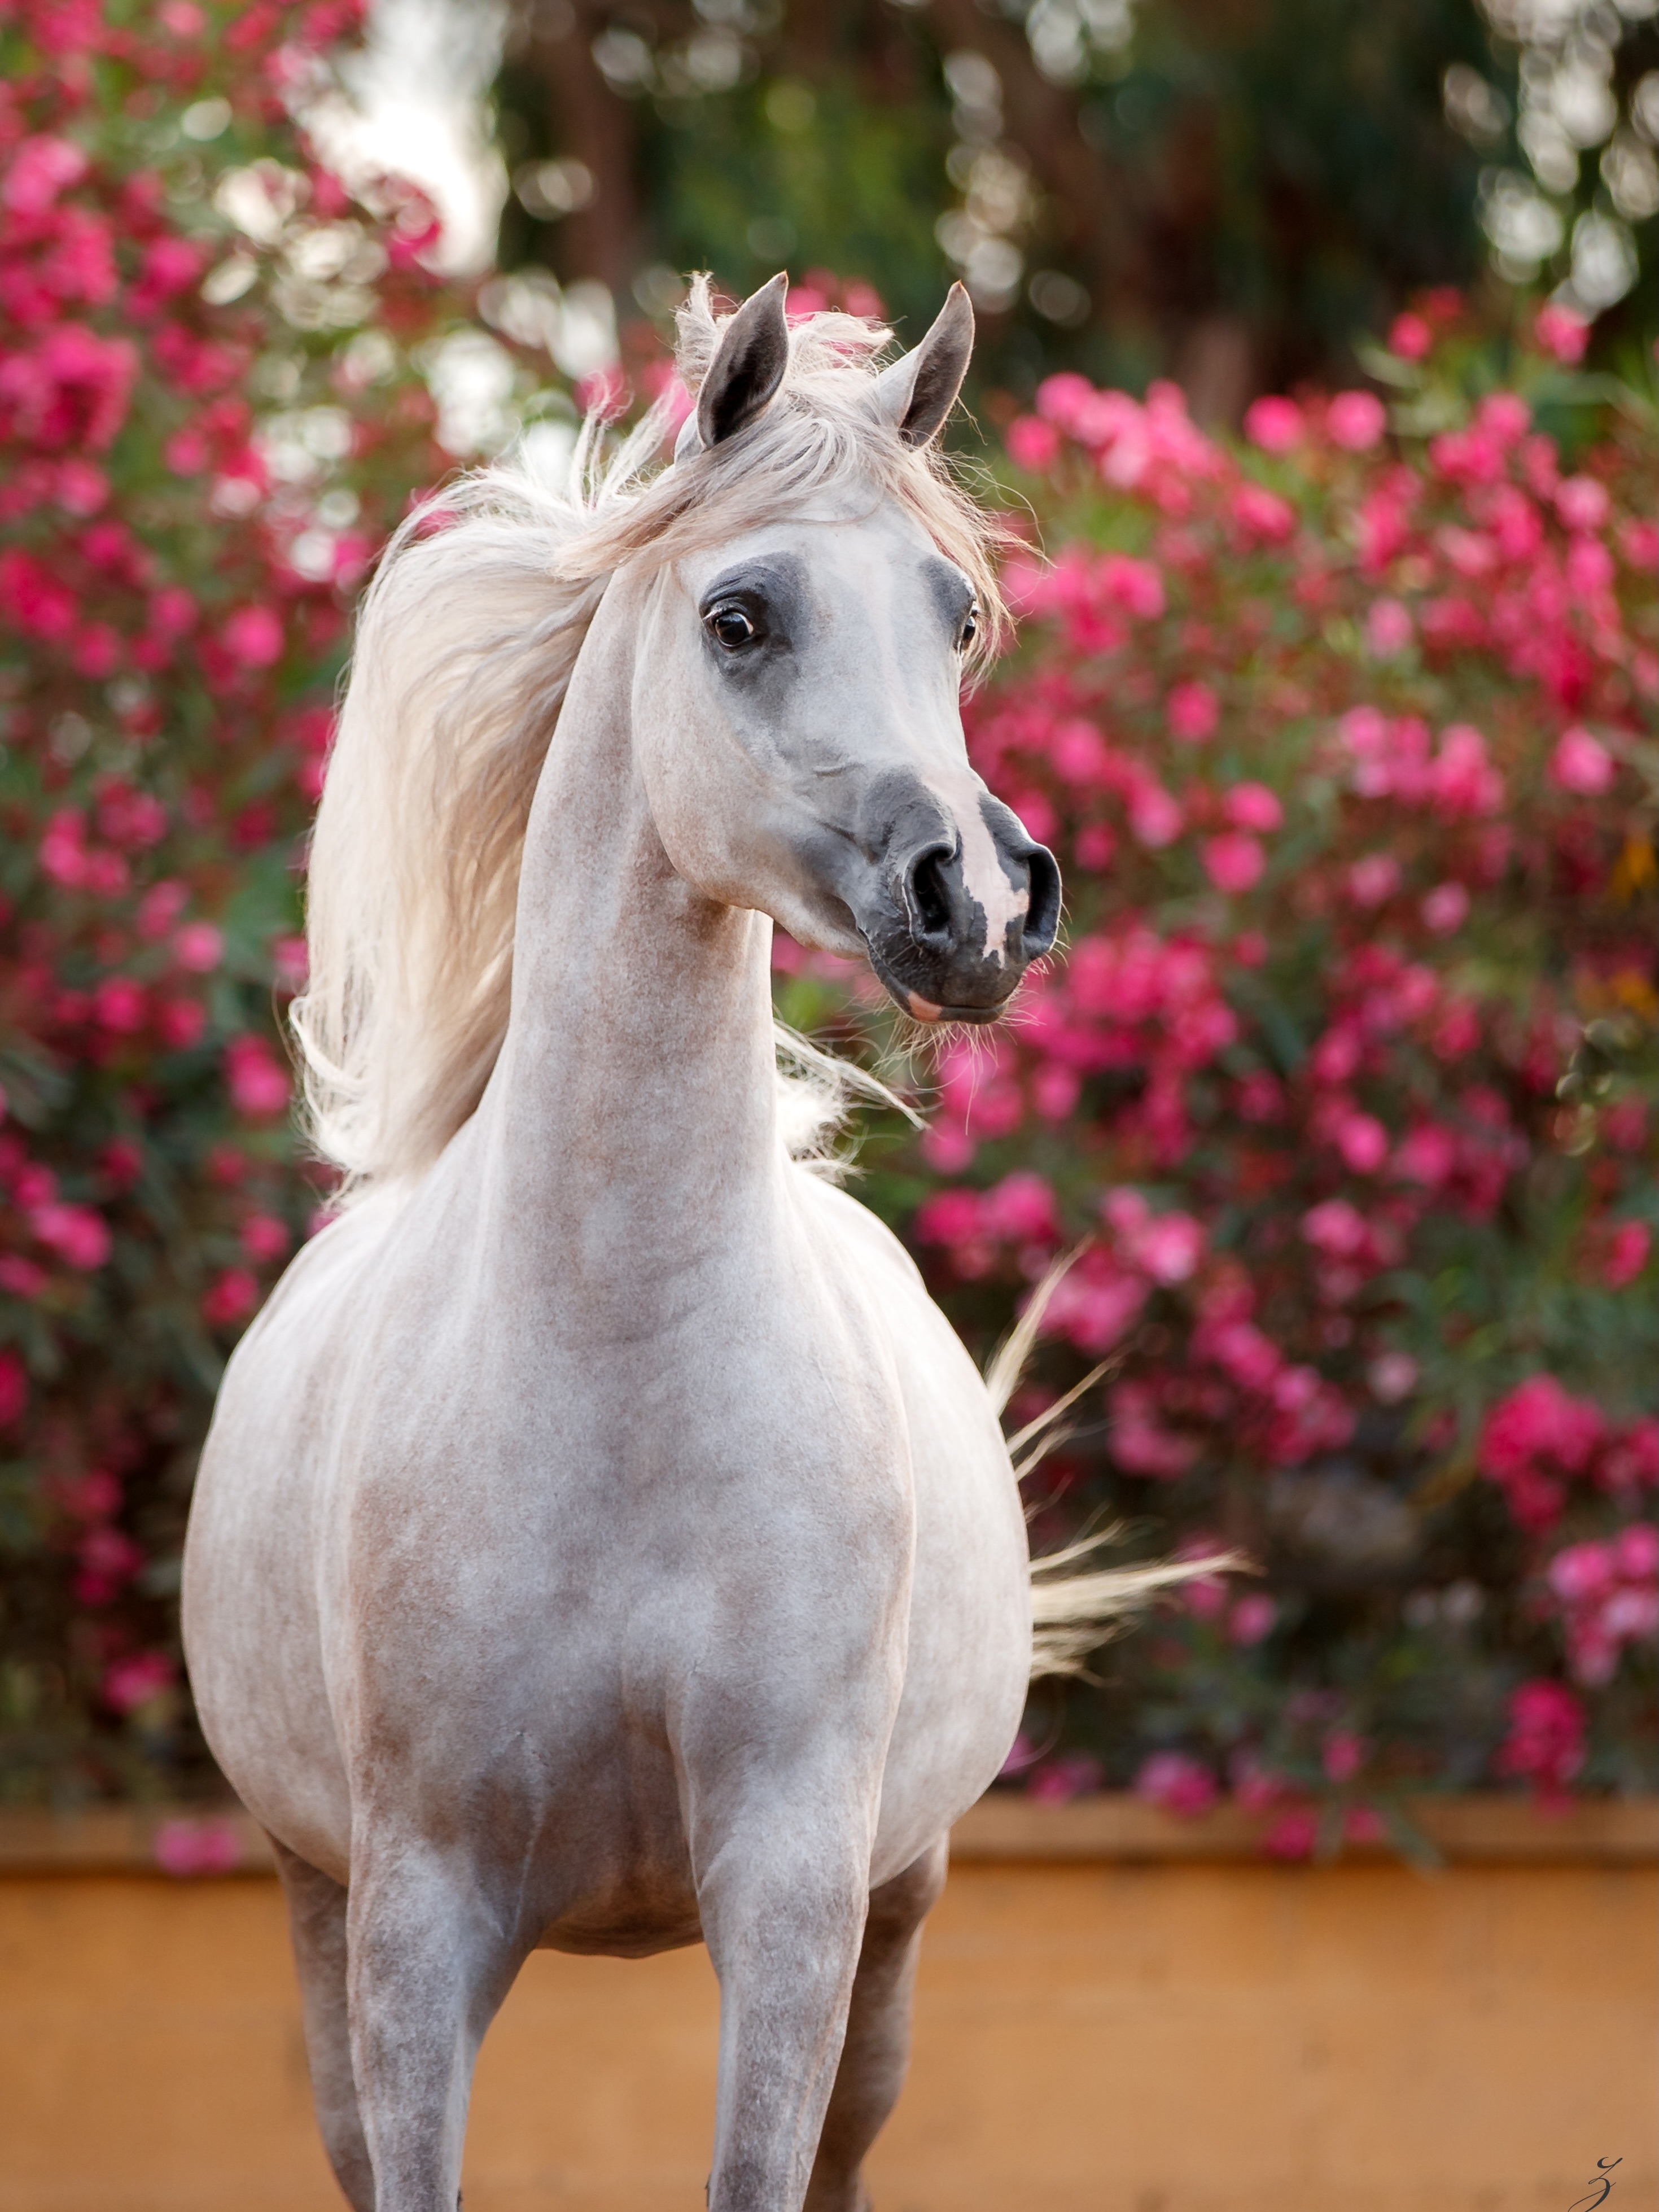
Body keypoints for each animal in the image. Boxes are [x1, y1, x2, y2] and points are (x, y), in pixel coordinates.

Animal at [183, 274, 1164, 2212]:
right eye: (739, 616)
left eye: (953, 618)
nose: (979, 904)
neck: (618, 1362)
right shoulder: (415, 1916)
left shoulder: (796, 1898)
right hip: (319, 1914)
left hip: (896, 1931)